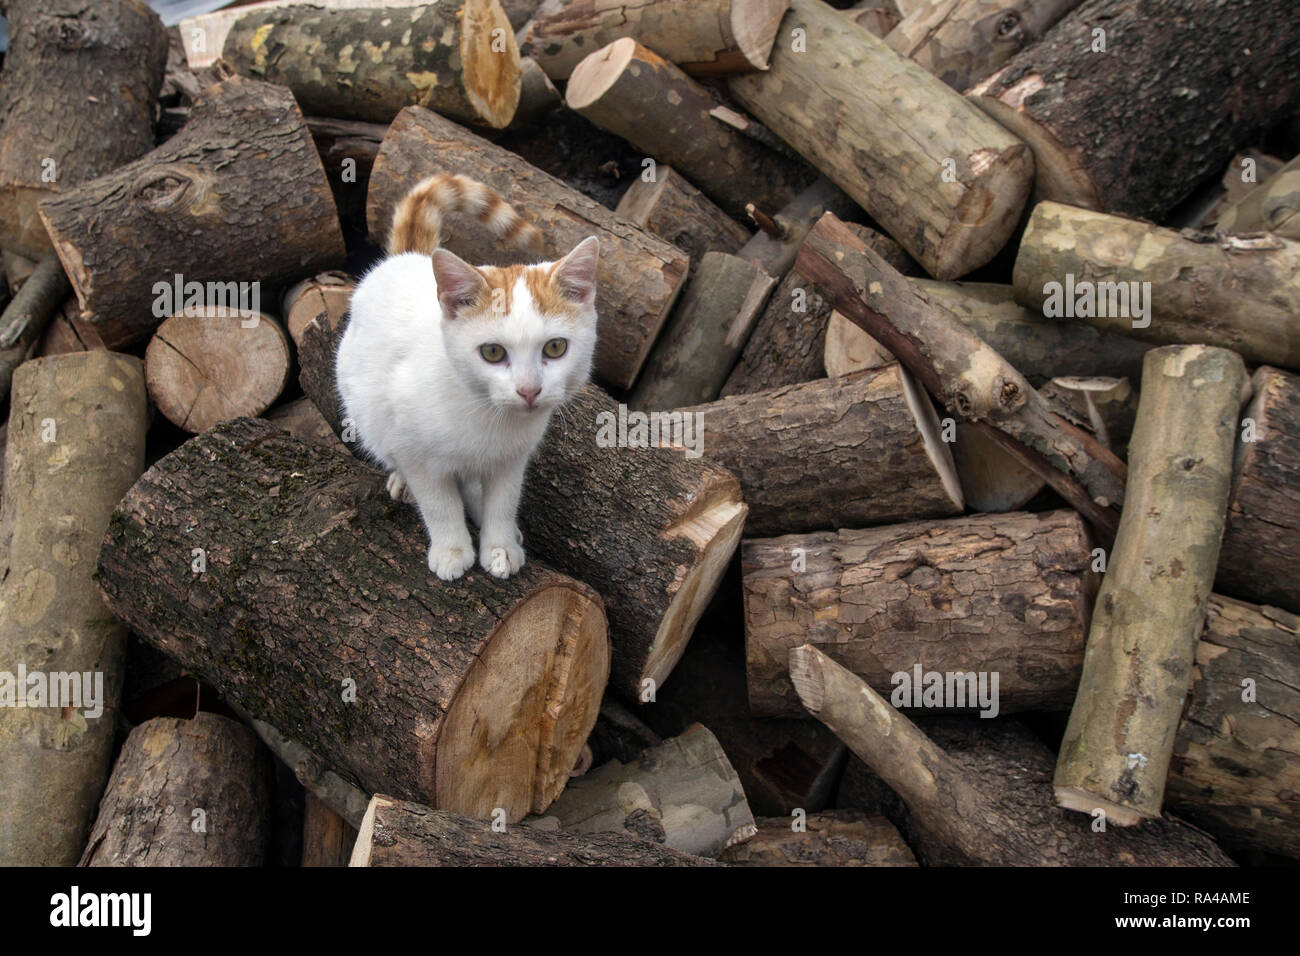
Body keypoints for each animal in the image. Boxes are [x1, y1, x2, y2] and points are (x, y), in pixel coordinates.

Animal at [335, 178, 598, 582]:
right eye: (492, 352)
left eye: (555, 347)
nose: (529, 390)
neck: (486, 414)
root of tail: (407, 258)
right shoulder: (415, 451)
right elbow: (438, 503)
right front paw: (452, 549)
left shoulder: (512, 459)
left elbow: (503, 500)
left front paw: (500, 545)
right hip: (363, 402)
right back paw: (402, 482)